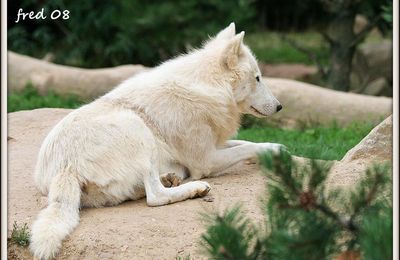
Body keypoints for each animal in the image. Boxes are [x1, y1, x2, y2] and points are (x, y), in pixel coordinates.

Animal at [29, 23, 282, 258]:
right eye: (258, 78)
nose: (280, 106)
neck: (209, 88)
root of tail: (65, 169)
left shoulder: (212, 146)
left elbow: (247, 144)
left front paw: (271, 152)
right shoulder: (206, 161)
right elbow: (245, 149)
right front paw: (275, 150)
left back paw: (170, 178)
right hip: (137, 128)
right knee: (155, 197)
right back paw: (194, 188)